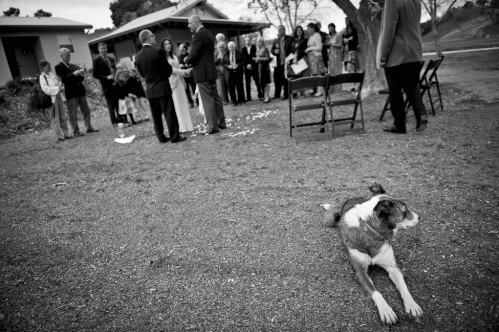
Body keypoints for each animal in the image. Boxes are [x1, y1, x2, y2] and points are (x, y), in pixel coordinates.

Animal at [322, 183, 424, 322]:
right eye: (405, 211)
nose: (419, 217)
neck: (371, 232)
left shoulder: (392, 267)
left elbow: (403, 287)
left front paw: (412, 305)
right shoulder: (360, 272)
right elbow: (376, 292)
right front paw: (386, 310)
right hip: (330, 219)